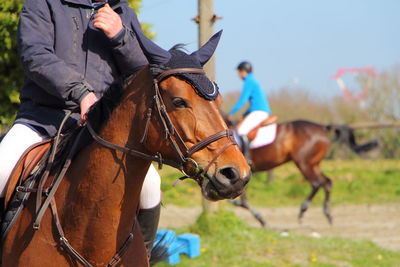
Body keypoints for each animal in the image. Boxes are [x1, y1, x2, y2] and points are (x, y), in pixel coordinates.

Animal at [228, 119, 378, 226]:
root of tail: (322, 127)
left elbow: (244, 202)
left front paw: (260, 219)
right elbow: (243, 201)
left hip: (304, 163)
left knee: (317, 183)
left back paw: (302, 211)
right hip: (314, 164)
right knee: (327, 182)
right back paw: (327, 214)